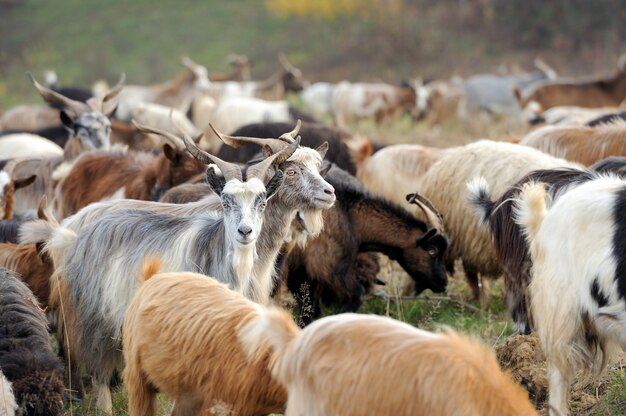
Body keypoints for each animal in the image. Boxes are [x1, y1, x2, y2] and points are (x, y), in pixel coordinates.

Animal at [286, 165, 446, 322]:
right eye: (432, 250)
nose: (443, 283)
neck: (351, 217)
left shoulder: (302, 272)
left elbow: (309, 307)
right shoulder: (328, 266)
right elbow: (356, 294)